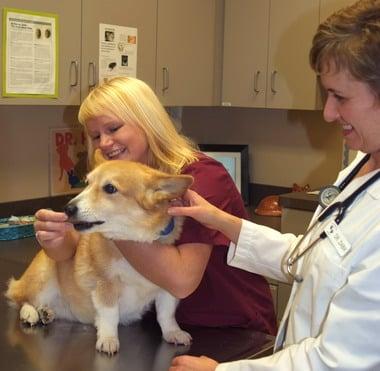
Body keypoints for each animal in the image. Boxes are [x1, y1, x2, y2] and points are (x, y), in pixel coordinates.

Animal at [5, 158, 194, 356]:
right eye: (87, 183)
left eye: (110, 188)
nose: (67, 209)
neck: (134, 240)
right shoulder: (105, 285)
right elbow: (109, 315)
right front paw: (108, 340)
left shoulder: (167, 288)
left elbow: (166, 314)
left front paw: (174, 333)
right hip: (43, 276)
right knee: (22, 300)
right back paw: (31, 313)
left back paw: (46, 312)